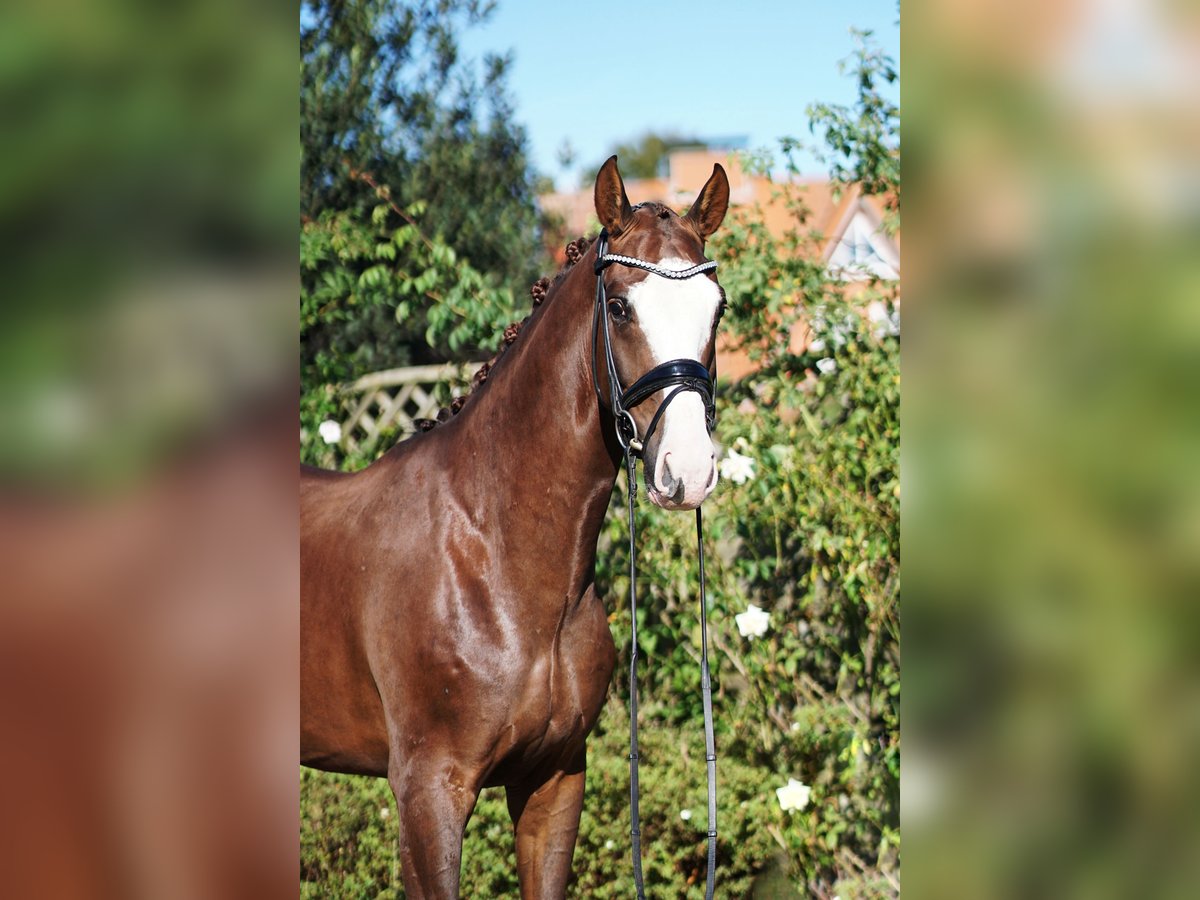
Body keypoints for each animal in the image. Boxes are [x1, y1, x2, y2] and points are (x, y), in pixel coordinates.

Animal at [300, 158, 729, 897]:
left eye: (717, 308)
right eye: (620, 307)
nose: (689, 469)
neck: (497, 558)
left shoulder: (554, 781)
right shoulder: (429, 793)